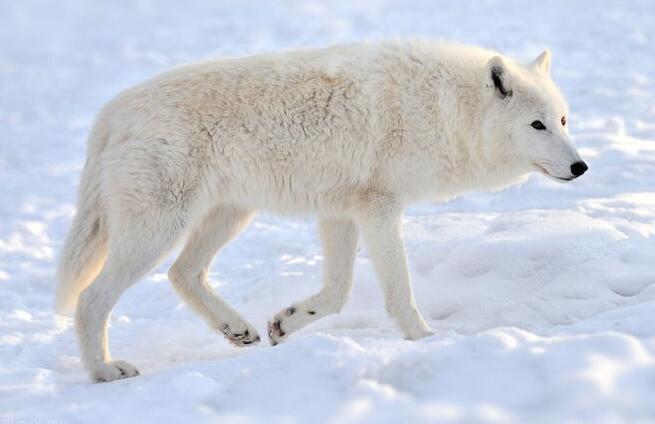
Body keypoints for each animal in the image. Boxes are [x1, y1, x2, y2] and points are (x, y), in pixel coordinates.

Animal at [57, 39, 588, 382]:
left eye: (563, 120)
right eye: (537, 125)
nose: (580, 166)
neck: (443, 107)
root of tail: (110, 114)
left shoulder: (341, 212)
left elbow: (337, 293)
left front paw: (285, 322)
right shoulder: (379, 208)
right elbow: (398, 294)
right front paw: (426, 340)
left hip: (229, 215)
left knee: (182, 274)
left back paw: (238, 330)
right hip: (159, 230)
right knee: (92, 299)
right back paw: (104, 370)